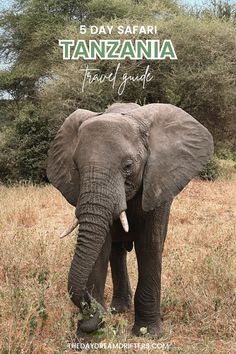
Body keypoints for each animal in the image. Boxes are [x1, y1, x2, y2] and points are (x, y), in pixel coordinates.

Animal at [46, 102, 214, 338]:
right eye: (76, 168)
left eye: (128, 166)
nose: (91, 311)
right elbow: (101, 248)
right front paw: (88, 337)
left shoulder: (158, 182)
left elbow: (149, 245)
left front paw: (147, 333)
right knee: (116, 252)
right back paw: (118, 309)